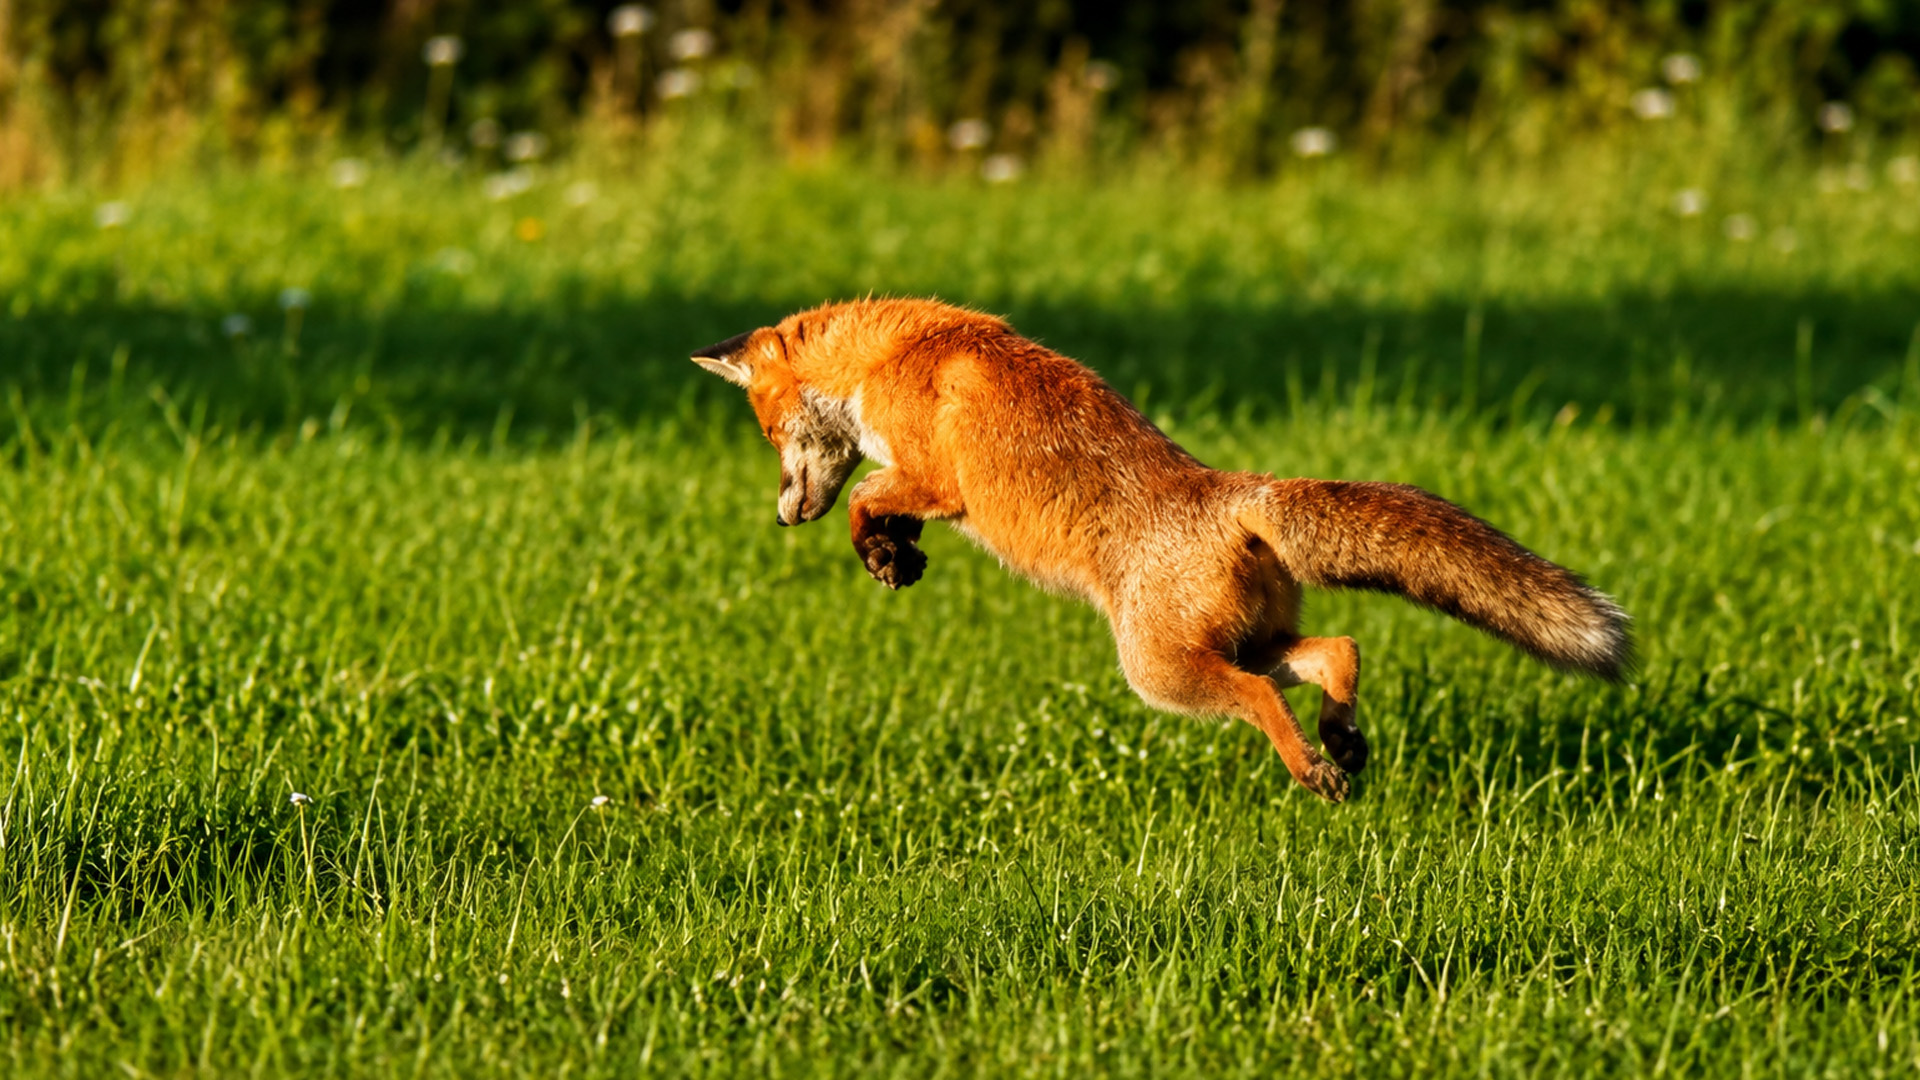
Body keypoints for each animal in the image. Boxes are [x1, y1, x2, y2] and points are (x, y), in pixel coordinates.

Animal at [692, 297, 1629, 802]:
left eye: (769, 432)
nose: (783, 518)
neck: (897, 350)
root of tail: (1233, 491)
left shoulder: (938, 480)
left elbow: (865, 496)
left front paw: (879, 549)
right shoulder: (920, 484)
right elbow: (880, 508)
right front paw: (896, 558)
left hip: (1159, 672)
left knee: (1262, 697)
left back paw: (1309, 766)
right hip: (1243, 640)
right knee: (1339, 650)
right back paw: (1343, 742)